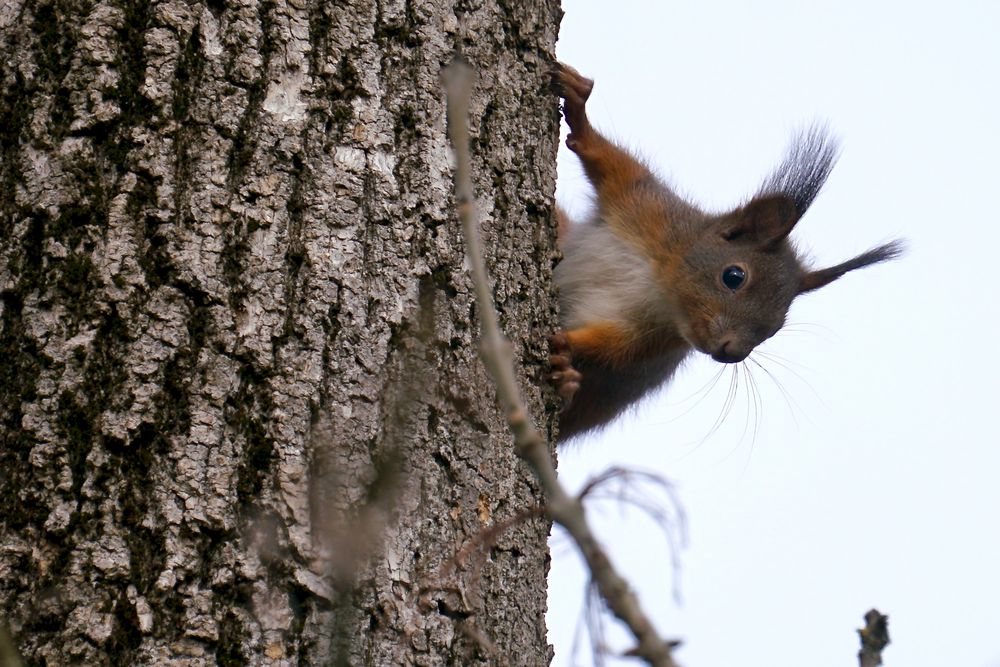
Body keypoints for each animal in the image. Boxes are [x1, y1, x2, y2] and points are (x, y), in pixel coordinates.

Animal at [552, 61, 904, 438]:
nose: (731, 352)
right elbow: (608, 161)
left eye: (778, 325)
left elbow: (610, 348)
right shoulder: (646, 209)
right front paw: (579, 108)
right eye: (734, 276)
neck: (660, 283)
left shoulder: (652, 339)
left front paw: (567, 345)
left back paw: (566, 383)